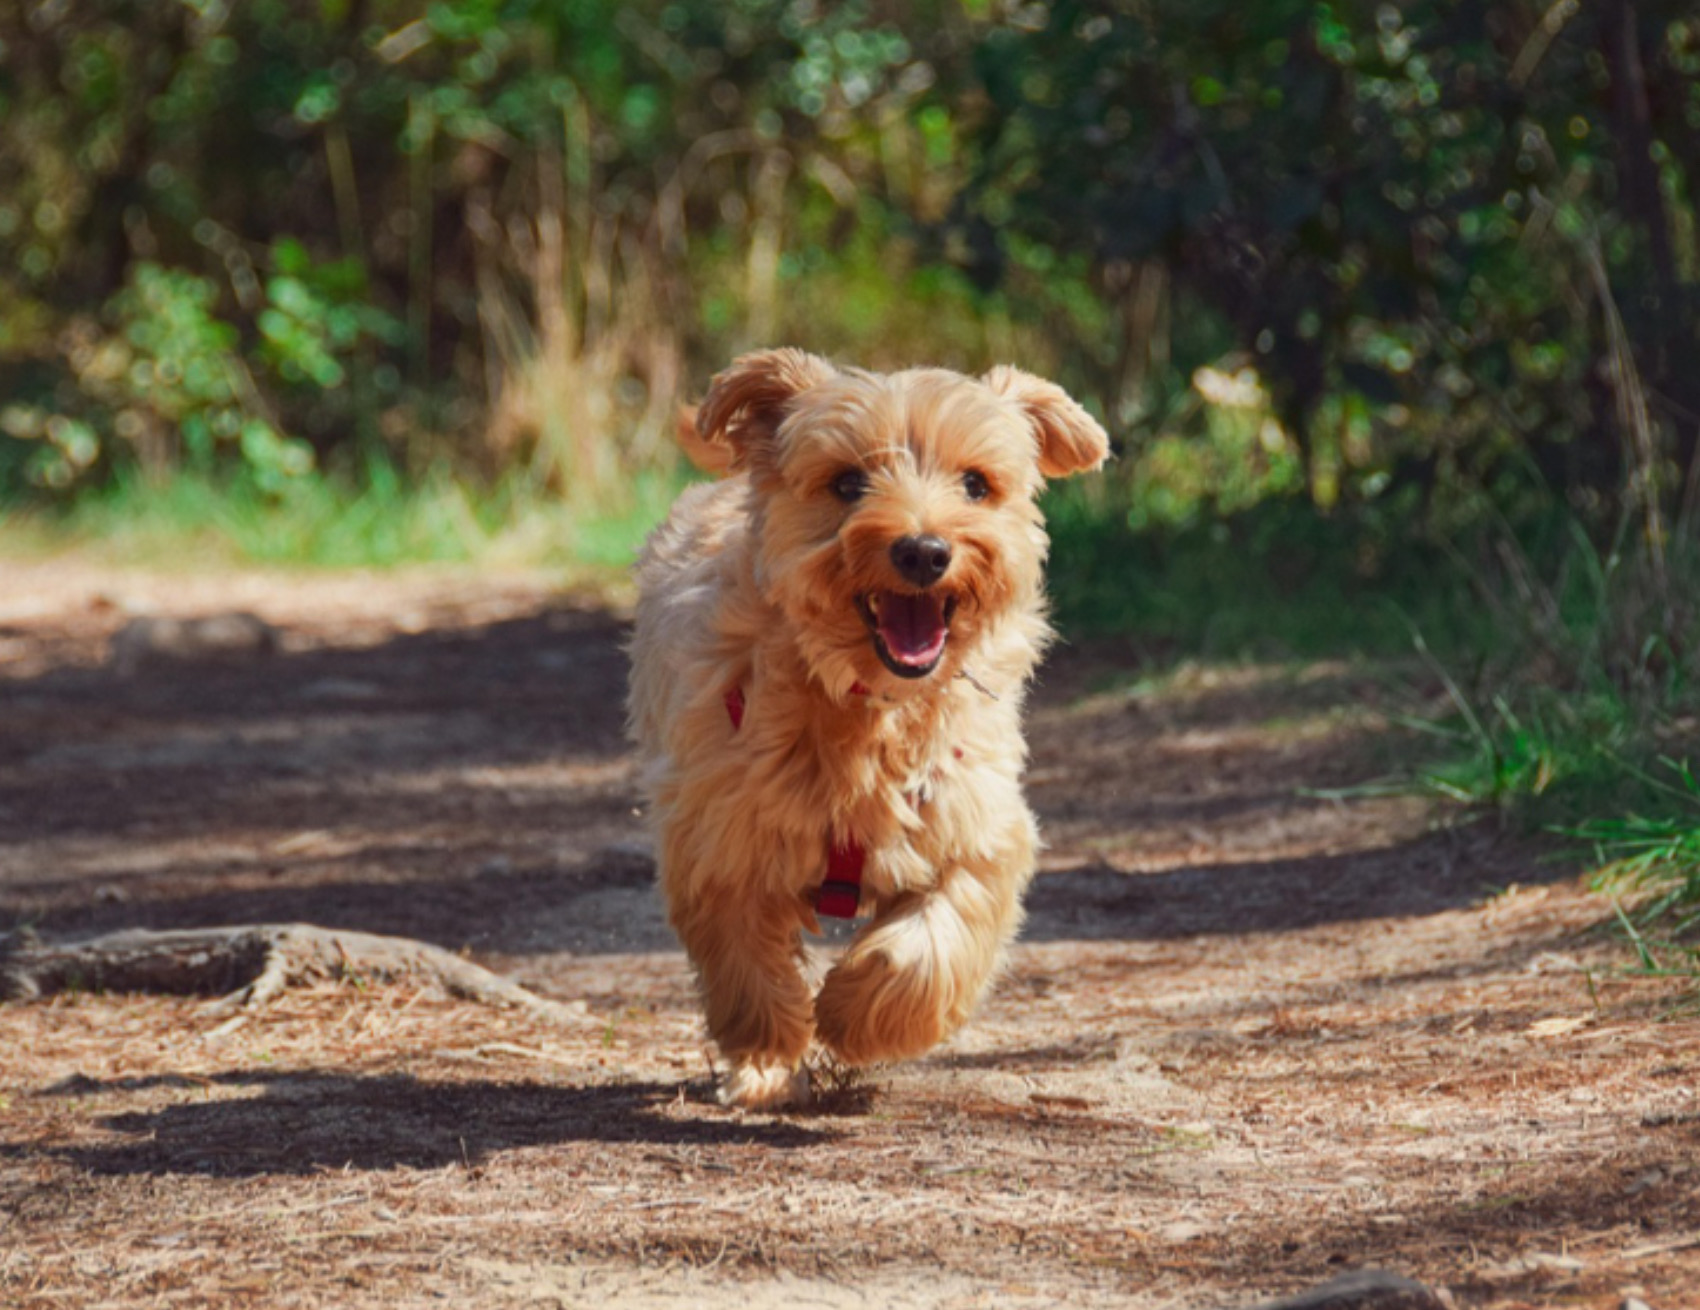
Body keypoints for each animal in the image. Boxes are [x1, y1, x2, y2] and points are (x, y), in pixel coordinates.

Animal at [632, 348, 1108, 1107]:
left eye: (976, 484)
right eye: (847, 482)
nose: (924, 551)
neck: (869, 707)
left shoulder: (976, 827)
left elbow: (930, 944)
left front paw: (854, 1017)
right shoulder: (720, 835)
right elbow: (746, 961)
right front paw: (770, 1051)